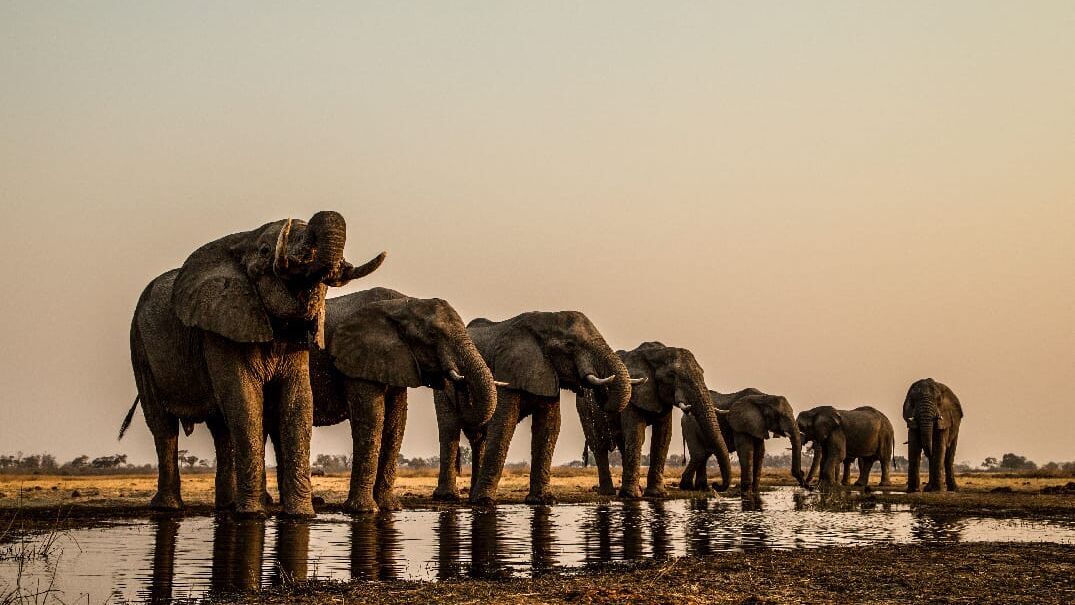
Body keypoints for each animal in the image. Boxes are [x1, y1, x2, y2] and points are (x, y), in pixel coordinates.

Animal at [123, 211, 384, 515]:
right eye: (265, 251)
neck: (243, 240)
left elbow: (297, 403)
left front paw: (301, 514)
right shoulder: (221, 328)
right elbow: (245, 399)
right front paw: (254, 514)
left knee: (221, 430)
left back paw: (226, 506)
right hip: (138, 344)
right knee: (163, 426)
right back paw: (170, 508)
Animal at [307, 285, 498, 513]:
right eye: (433, 335)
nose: (459, 382)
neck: (403, 304)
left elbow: (396, 422)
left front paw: (390, 507)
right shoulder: (356, 359)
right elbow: (372, 418)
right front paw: (364, 510)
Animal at [464, 309, 636, 505]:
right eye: (570, 345)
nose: (598, 393)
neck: (544, 319)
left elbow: (549, 426)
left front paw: (543, 500)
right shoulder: (507, 371)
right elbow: (504, 423)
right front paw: (484, 501)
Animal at [576, 343, 735, 498]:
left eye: (702, 373)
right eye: (672, 376)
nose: (716, 485)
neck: (657, 352)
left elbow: (663, 435)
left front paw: (657, 494)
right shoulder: (633, 394)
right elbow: (636, 433)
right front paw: (631, 496)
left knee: (622, 444)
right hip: (585, 408)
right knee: (599, 445)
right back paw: (608, 492)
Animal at [679, 391, 808, 494]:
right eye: (779, 415)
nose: (802, 474)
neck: (763, 397)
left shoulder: (758, 425)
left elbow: (760, 451)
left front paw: (755, 491)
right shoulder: (740, 423)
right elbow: (746, 449)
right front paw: (746, 492)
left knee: (704, 455)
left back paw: (702, 489)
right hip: (690, 427)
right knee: (699, 454)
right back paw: (689, 487)